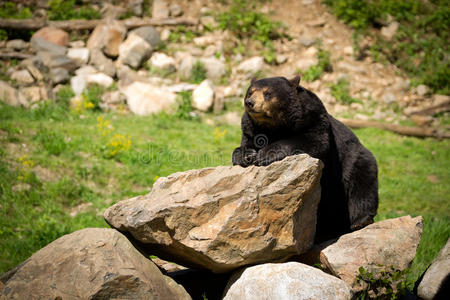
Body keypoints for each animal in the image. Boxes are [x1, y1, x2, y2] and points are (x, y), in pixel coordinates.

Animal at [234, 76, 378, 243]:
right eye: (250, 92)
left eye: (267, 93)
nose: (249, 102)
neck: (274, 125)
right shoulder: (251, 128)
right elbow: (247, 142)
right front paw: (245, 155)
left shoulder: (314, 118)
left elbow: (313, 141)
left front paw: (265, 154)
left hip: (354, 163)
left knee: (361, 186)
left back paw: (360, 221)